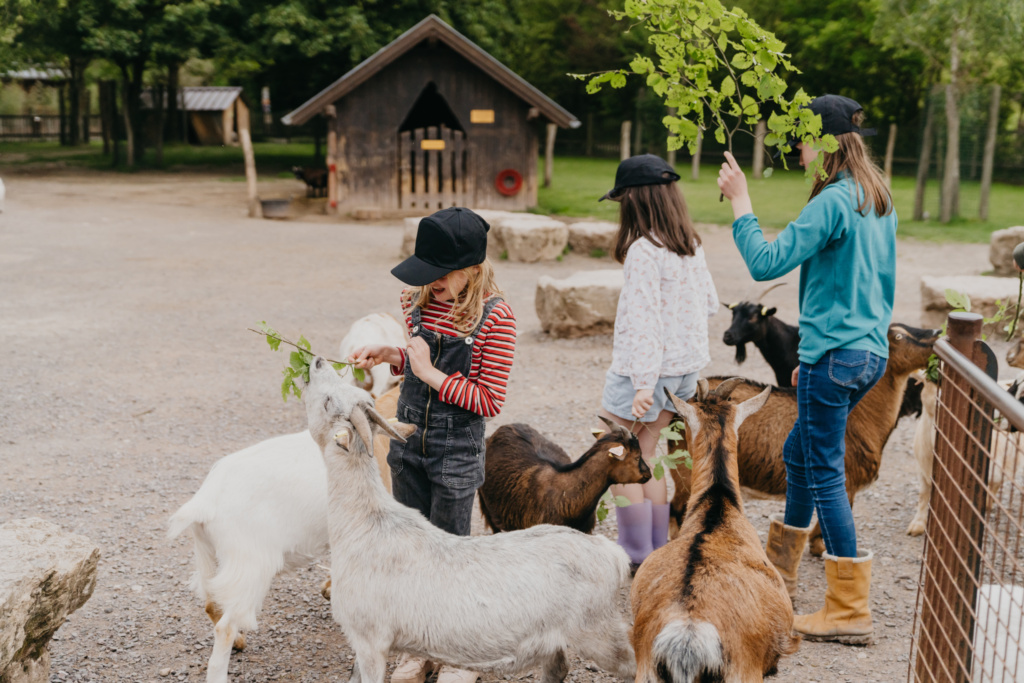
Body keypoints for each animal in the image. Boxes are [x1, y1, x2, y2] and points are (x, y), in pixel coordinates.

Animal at [167, 383, 399, 683]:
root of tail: (205, 502)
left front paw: (329, 589)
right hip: (251, 566)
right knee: (224, 626)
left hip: (209, 555)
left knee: (212, 604)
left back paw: (239, 641)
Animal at [669, 323, 941, 556]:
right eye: (899, 336)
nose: (937, 333)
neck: (860, 418)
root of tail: (681, 406)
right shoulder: (846, 483)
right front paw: (820, 547)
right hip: (686, 473)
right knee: (676, 510)